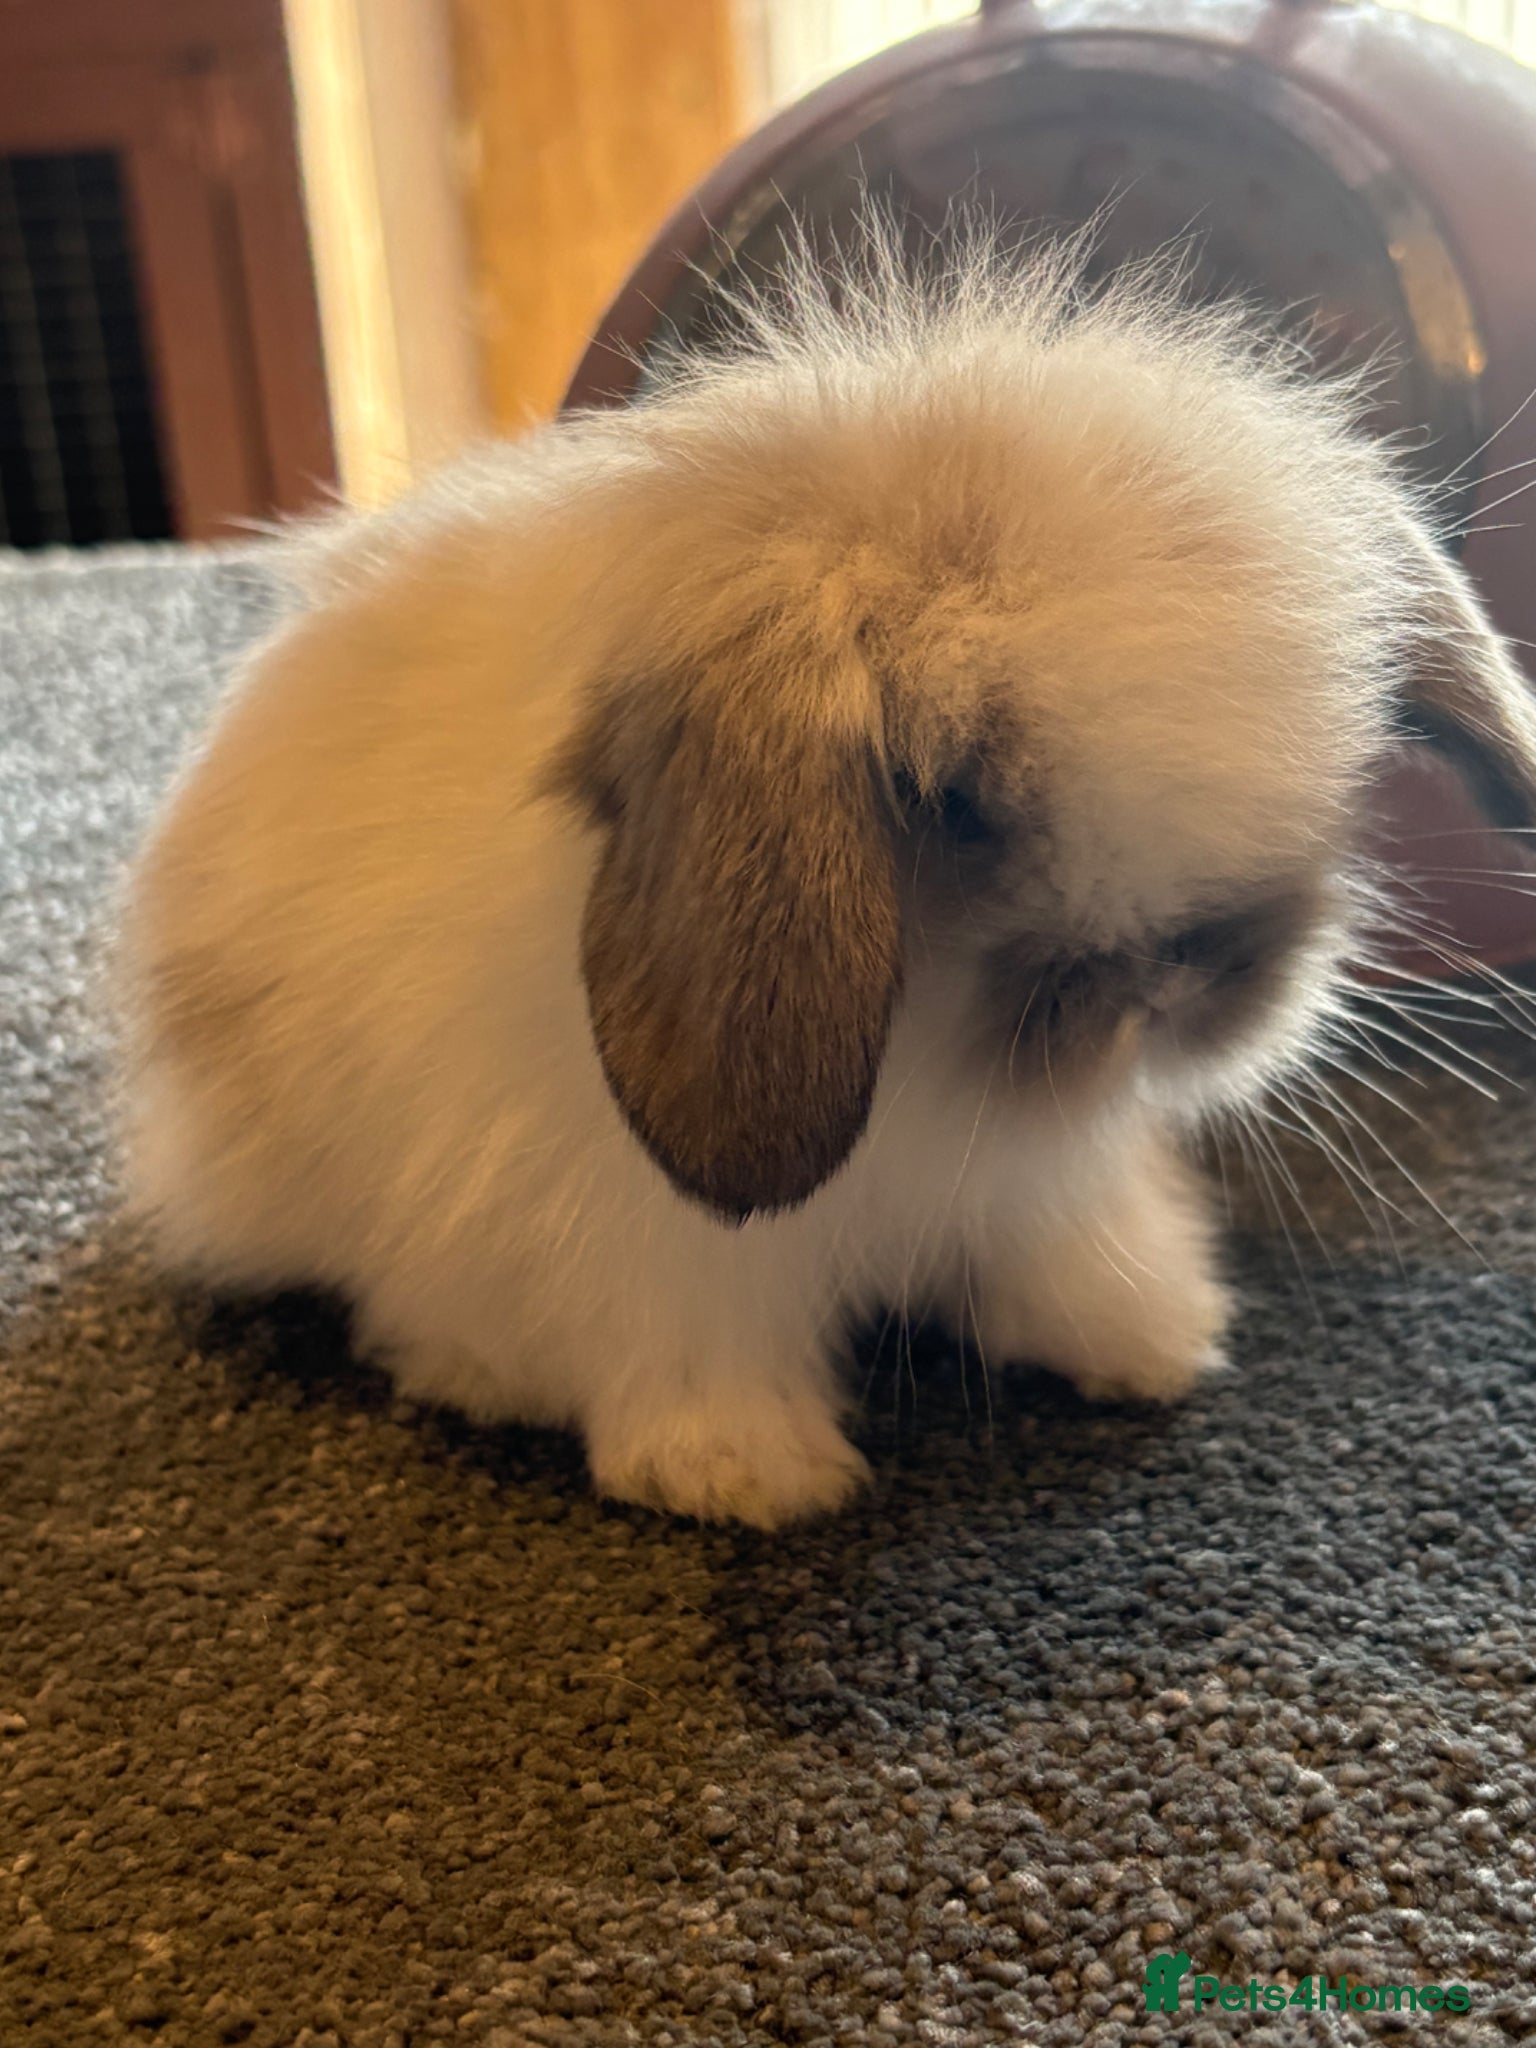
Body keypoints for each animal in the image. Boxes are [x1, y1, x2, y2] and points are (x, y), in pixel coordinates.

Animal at [112, 221, 1536, 1528]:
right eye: (952, 798)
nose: (1192, 983)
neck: (922, 1077)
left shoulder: (1037, 1187)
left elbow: (1068, 1260)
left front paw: (1153, 1340)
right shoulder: (647, 1248)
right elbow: (691, 1353)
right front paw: (746, 1479)